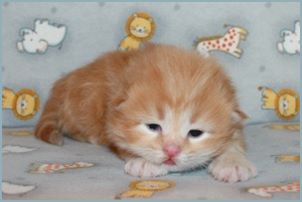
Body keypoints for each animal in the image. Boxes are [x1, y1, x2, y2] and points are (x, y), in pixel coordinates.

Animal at [35, 43, 258, 182]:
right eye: (153, 127)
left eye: (195, 133)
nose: (171, 151)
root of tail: (65, 81)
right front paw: (143, 162)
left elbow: (234, 141)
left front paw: (232, 163)